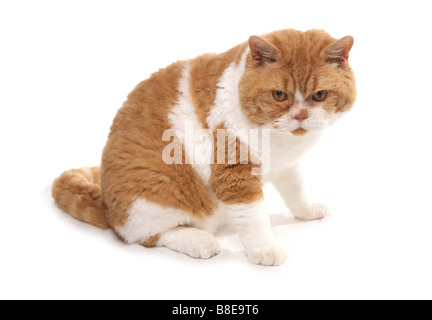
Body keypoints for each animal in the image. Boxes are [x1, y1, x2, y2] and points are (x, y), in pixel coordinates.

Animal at [53, 29, 358, 264]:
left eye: (319, 95)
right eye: (279, 95)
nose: (300, 116)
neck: (279, 139)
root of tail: (106, 205)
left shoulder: (287, 166)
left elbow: (297, 191)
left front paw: (307, 210)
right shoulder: (235, 174)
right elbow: (255, 219)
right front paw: (265, 248)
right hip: (153, 198)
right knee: (150, 234)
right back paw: (201, 241)